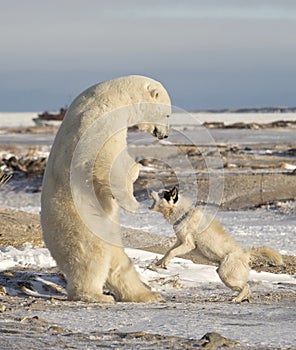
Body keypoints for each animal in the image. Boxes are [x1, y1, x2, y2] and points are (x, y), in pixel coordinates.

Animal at [41, 75, 171, 302]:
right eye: (167, 114)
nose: (164, 135)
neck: (115, 96)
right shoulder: (100, 118)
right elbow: (105, 158)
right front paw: (133, 203)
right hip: (80, 223)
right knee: (91, 255)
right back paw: (94, 295)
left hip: (109, 231)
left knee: (119, 262)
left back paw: (147, 294)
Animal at [149, 187, 284, 302]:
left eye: (162, 194)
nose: (150, 191)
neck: (183, 213)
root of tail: (246, 254)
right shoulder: (179, 241)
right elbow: (168, 251)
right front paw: (160, 262)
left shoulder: (188, 244)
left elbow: (172, 252)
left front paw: (164, 263)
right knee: (246, 287)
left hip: (227, 275)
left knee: (246, 286)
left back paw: (237, 299)